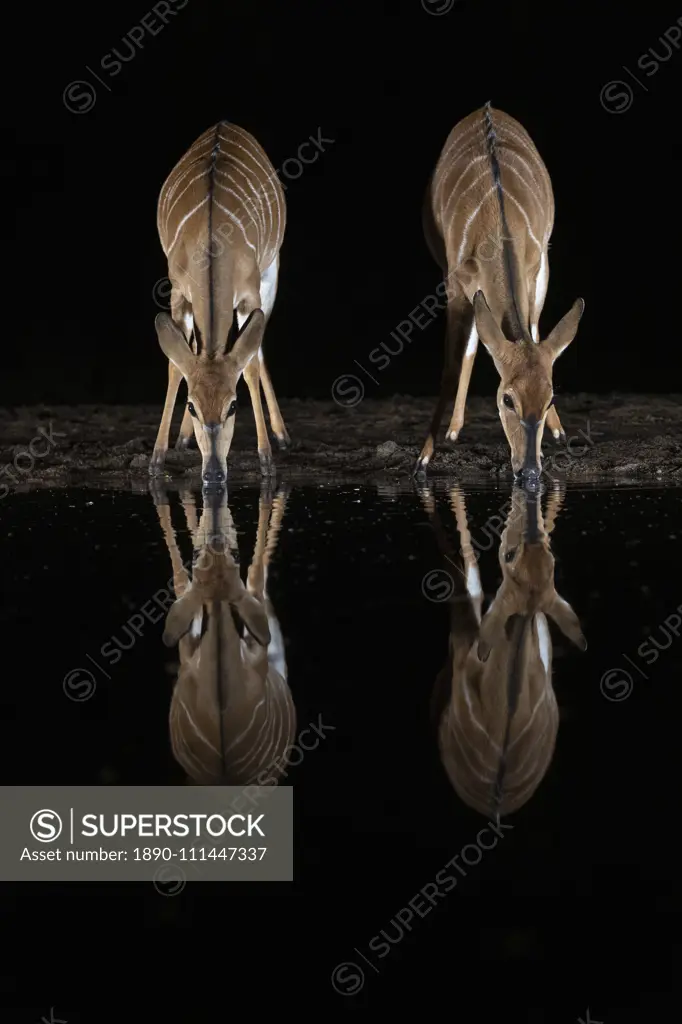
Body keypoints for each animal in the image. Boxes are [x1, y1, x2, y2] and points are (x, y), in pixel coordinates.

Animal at [151, 119, 286, 487]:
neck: (212, 240)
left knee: (259, 346)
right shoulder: (177, 292)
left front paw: (266, 458)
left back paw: (282, 434)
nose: (213, 473)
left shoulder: (251, 292)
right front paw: (157, 457)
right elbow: (176, 364)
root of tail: (224, 124)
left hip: (272, 269)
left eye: (233, 406)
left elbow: (249, 363)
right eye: (193, 406)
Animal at [413, 103, 585, 483]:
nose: (530, 471)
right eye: (507, 399)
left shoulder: (536, 269)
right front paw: (423, 458)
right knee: (472, 344)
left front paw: (553, 434)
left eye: (550, 398)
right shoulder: (454, 284)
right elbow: (452, 363)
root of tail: (486, 107)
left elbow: (532, 333)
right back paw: (454, 429)